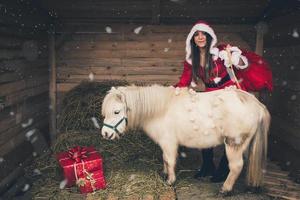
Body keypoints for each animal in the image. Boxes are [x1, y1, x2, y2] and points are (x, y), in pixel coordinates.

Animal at [100, 85, 270, 194]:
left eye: (116, 111)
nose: (105, 134)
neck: (161, 110)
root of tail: (257, 104)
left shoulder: (168, 142)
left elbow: (169, 160)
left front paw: (170, 181)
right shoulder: (165, 144)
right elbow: (165, 159)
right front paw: (164, 174)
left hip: (234, 144)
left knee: (236, 166)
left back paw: (225, 189)